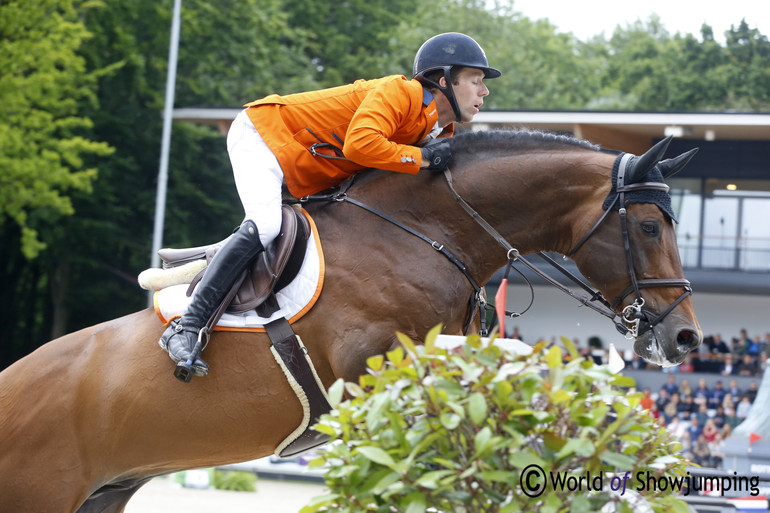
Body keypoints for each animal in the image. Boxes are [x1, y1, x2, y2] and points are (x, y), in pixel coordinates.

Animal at [0, 130, 704, 510]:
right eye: (649, 226)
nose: (686, 337)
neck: (425, 231)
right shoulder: (378, 362)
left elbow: (508, 366)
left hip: (103, 492)